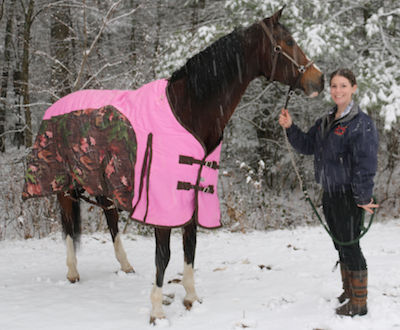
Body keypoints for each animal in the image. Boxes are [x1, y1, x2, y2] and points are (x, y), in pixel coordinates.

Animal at [23, 6, 324, 324]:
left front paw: (191, 297)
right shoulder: (163, 205)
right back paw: (72, 271)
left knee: (110, 217)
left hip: (103, 182)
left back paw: (125, 266)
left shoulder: (191, 195)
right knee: (69, 226)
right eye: (287, 42)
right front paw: (156, 310)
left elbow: (189, 247)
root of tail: (56, 105)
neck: (188, 110)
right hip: (64, 185)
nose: (319, 79)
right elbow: (164, 255)